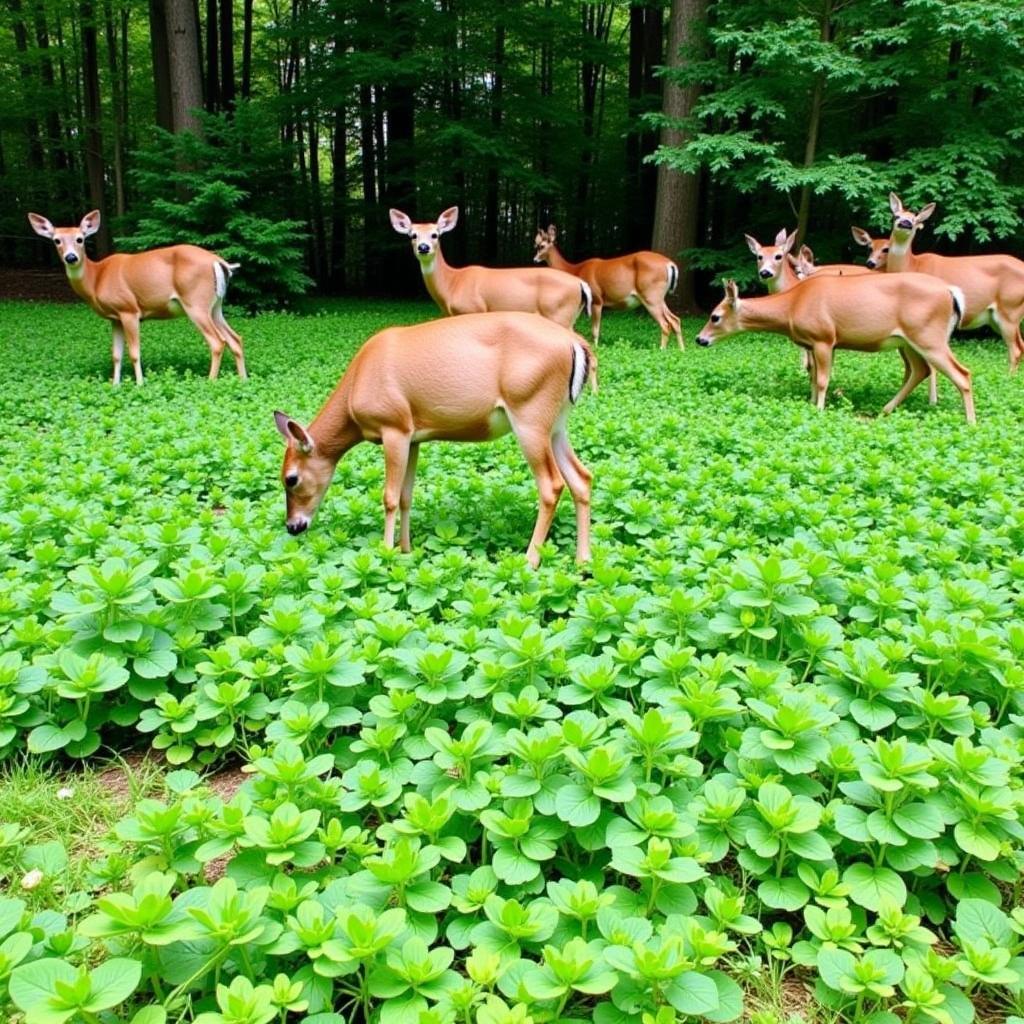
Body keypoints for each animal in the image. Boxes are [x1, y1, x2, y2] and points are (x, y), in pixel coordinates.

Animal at [28, 207, 245, 385]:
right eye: (56, 240)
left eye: (80, 239)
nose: (71, 257)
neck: (96, 278)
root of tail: (218, 261)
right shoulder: (114, 317)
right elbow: (116, 354)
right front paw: (115, 385)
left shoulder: (129, 309)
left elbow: (134, 352)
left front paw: (139, 384)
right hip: (215, 305)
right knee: (235, 338)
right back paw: (244, 379)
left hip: (195, 301)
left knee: (217, 342)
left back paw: (210, 381)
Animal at [274, 309, 593, 569]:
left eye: (291, 478)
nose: (293, 526)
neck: (355, 389)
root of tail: (577, 345)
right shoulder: (414, 437)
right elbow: (406, 496)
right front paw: (405, 550)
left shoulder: (394, 426)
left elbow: (389, 497)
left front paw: (386, 553)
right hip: (556, 423)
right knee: (582, 477)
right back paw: (583, 562)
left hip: (529, 414)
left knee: (551, 485)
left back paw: (530, 561)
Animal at [532, 224, 684, 352]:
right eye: (536, 245)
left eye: (541, 246)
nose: (534, 259)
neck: (576, 269)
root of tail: (669, 264)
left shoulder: (597, 299)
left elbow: (595, 330)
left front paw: (596, 348)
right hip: (659, 297)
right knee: (675, 320)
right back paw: (682, 350)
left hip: (651, 295)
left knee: (665, 324)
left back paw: (662, 350)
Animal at [696, 272, 974, 423]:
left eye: (714, 316)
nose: (700, 339)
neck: (792, 306)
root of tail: (951, 292)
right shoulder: (813, 342)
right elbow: (812, 377)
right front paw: (810, 404)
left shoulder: (824, 338)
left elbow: (822, 380)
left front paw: (819, 409)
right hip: (908, 341)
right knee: (920, 370)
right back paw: (885, 409)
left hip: (929, 335)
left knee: (962, 373)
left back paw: (971, 422)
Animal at [880, 192, 1024, 372]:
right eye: (896, 216)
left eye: (915, 219)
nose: (905, 223)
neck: (913, 265)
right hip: (1000, 316)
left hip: (1010, 308)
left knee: (1015, 349)